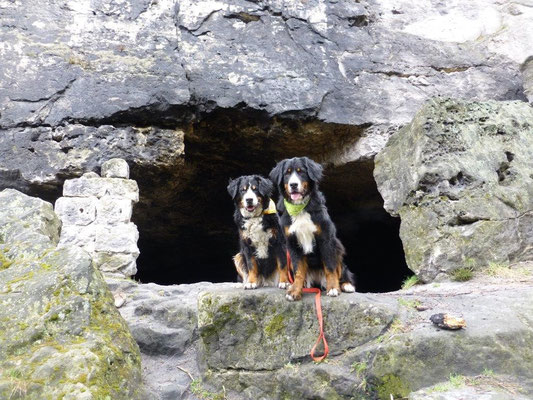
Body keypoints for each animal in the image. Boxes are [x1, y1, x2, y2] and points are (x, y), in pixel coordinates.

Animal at [268, 156, 356, 300]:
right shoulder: (292, 242)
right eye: (287, 173)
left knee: (341, 270)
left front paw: (333, 288)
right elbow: (298, 271)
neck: (300, 208)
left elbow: (330, 267)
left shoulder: (326, 239)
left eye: (301, 171)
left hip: (337, 247)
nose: (293, 185)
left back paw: (346, 285)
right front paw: (295, 291)